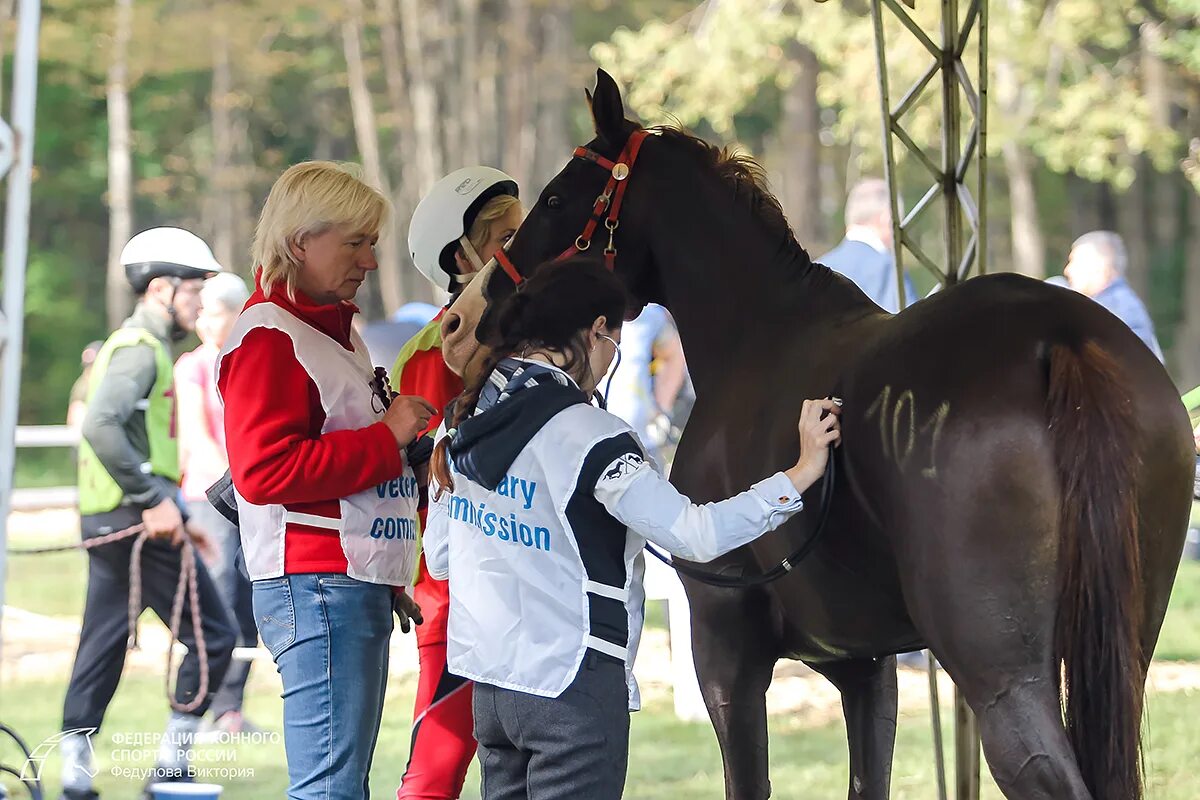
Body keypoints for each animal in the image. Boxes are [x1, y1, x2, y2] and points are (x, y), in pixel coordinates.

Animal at [439, 70, 1190, 800]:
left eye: (556, 198)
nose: (463, 321)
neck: (761, 334)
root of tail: (1059, 338)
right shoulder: (864, 663)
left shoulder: (727, 650)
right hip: (1118, 655)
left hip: (1003, 679)